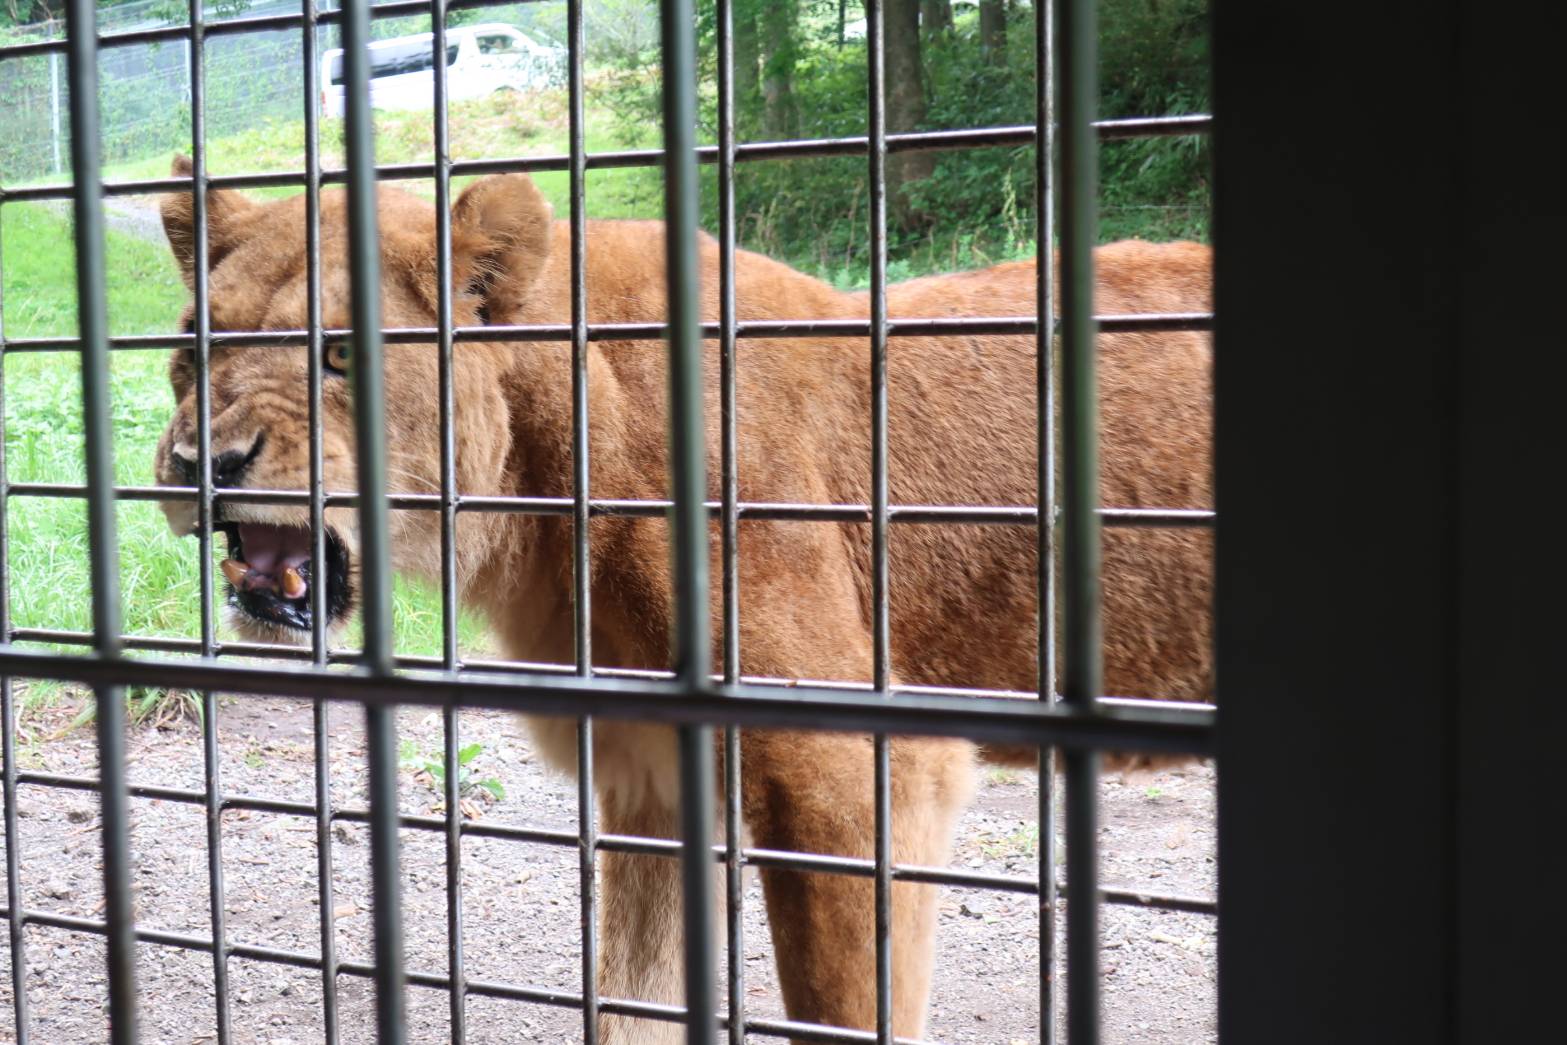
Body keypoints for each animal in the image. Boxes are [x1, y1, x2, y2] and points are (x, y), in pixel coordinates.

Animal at [155, 157, 1209, 1045]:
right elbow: (633, 996)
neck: (540, 483)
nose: (204, 462)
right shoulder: (653, 774)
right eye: (191, 348)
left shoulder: (854, 773)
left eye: (337, 354)